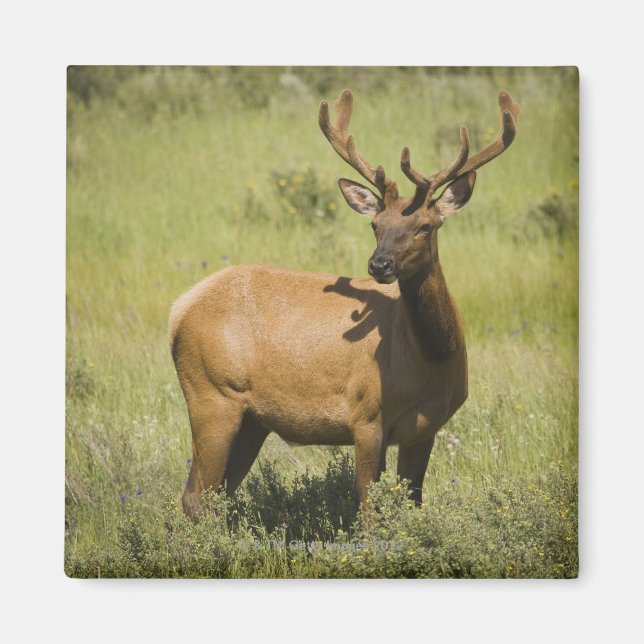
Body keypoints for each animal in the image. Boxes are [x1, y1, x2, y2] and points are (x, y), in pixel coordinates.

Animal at [169, 89, 520, 519]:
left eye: (425, 225)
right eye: (375, 225)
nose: (379, 264)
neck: (431, 363)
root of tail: (179, 309)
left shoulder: (425, 429)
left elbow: (411, 504)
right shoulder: (365, 414)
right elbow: (369, 511)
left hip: (252, 418)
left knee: (219, 493)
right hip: (211, 394)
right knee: (195, 495)